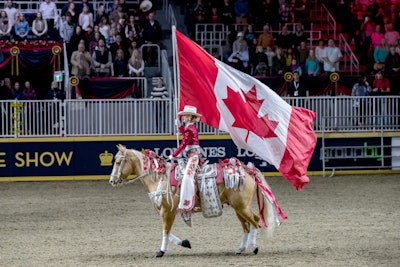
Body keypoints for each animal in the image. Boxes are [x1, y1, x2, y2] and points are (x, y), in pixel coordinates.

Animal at [108, 146, 286, 258]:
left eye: (118, 162)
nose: (112, 181)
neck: (160, 178)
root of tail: (248, 171)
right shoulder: (166, 212)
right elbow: (167, 231)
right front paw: (185, 243)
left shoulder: (167, 211)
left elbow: (165, 230)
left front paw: (160, 251)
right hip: (238, 208)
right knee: (246, 226)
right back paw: (241, 249)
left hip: (242, 207)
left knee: (255, 221)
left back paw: (254, 247)